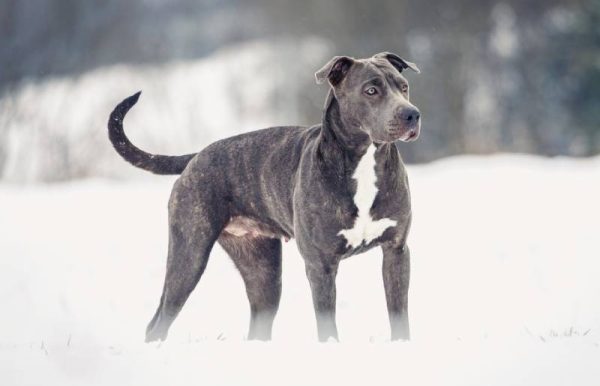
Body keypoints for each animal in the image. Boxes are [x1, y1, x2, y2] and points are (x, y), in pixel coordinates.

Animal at [106, 50, 422, 340]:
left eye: (404, 86)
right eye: (371, 90)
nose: (412, 114)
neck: (364, 160)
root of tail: (195, 157)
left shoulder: (396, 251)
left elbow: (399, 315)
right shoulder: (320, 264)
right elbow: (327, 326)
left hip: (263, 272)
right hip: (189, 254)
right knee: (159, 320)